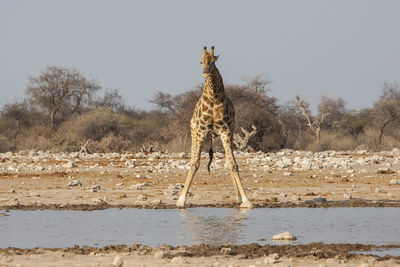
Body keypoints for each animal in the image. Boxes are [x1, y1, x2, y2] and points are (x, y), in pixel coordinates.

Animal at [176, 46, 253, 209]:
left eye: (213, 61)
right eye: (201, 61)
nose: (205, 72)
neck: (213, 97)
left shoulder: (225, 131)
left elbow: (233, 165)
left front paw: (245, 200)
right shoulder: (200, 132)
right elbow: (194, 164)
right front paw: (181, 200)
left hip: (230, 134)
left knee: (229, 162)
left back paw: (237, 197)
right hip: (193, 132)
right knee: (192, 159)